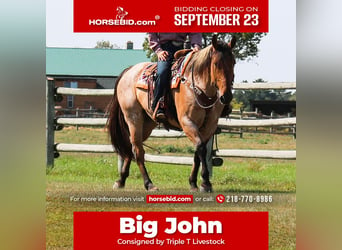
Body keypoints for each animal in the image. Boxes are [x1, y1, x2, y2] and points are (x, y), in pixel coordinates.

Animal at [107, 34, 235, 192]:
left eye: (233, 62)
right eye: (216, 64)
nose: (226, 97)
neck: (199, 87)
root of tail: (129, 71)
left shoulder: (209, 126)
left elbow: (198, 152)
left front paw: (194, 183)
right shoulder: (187, 122)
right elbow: (200, 148)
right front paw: (205, 182)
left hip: (147, 123)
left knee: (131, 147)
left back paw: (121, 180)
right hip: (133, 118)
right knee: (138, 150)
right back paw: (149, 184)